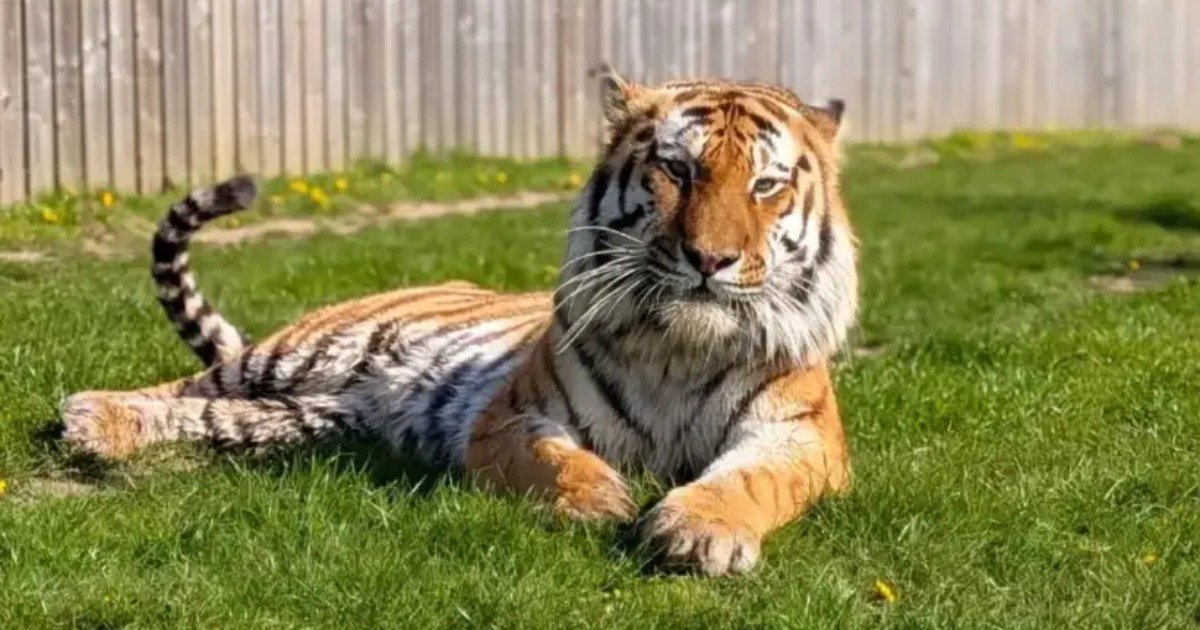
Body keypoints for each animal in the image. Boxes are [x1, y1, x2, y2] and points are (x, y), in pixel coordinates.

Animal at [59, 65, 859, 577]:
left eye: (765, 185)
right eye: (678, 170)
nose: (710, 259)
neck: (681, 348)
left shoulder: (800, 436)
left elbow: (750, 481)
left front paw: (700, 531)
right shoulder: (511, 417)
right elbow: (555, 460)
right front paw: (599, 500)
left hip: (304, 417)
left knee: (214, 415)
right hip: (302, 352)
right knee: (187, 386)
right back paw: (90, 416)